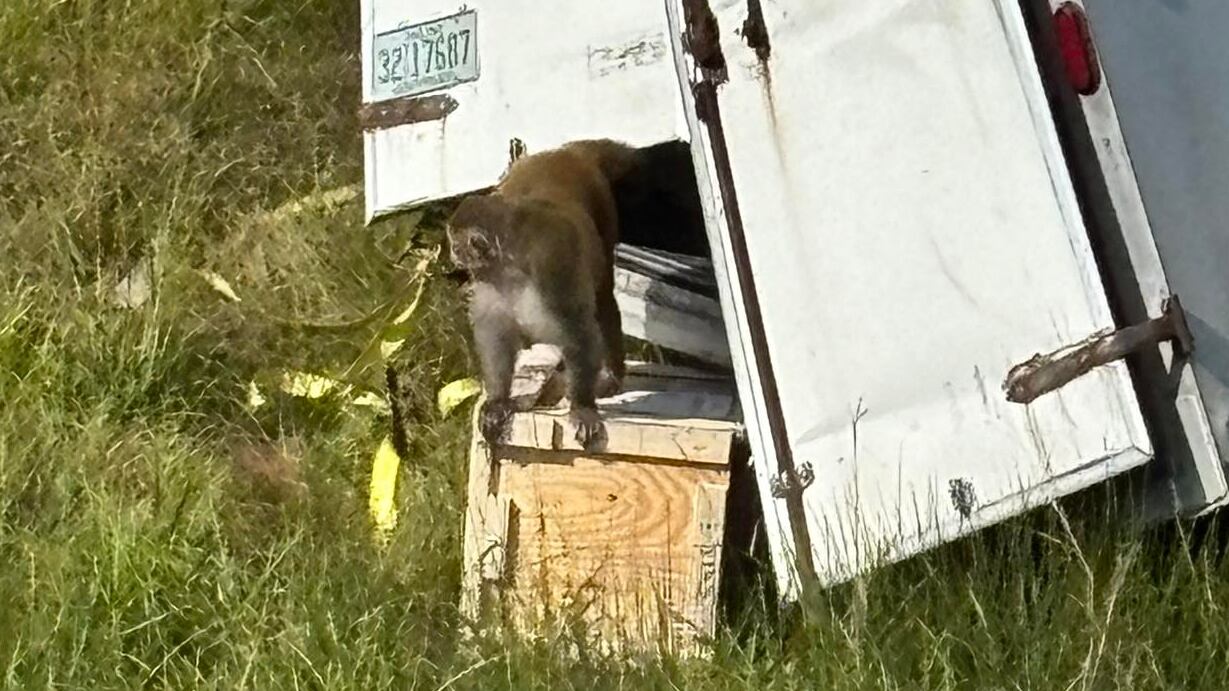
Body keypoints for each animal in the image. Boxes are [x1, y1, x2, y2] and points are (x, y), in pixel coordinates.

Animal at [447, 139, 643, 450]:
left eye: (456, 245)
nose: (452, 254)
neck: (511, 264)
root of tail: (565, 152)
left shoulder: (551, 265)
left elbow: (578, 329)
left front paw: (582, 407)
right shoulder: (489, 282)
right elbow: (496, 334)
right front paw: (498, 400)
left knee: (602, 299)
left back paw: (611, 375)